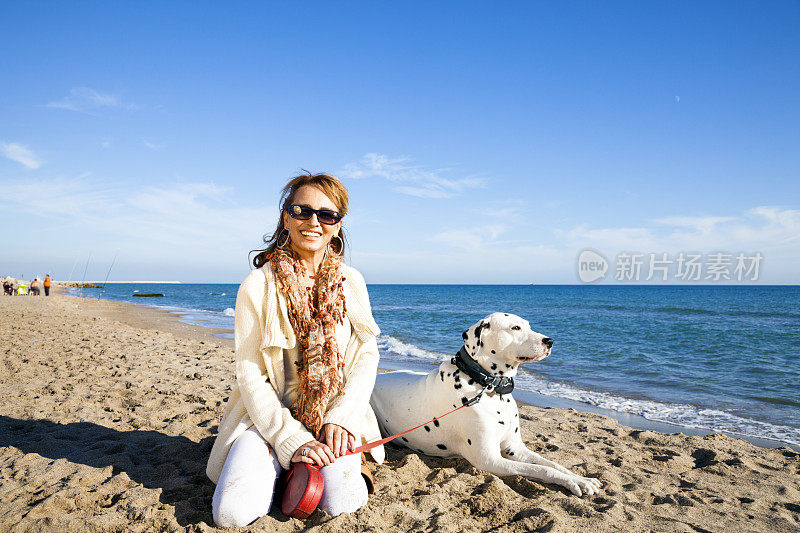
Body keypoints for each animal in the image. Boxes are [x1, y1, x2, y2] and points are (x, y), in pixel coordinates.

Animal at [372, 312, 604, 494]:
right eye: (515, 327)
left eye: (528, 325)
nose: (550, 341)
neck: (490, 389)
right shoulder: (489, 459)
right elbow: (541, 469)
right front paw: (573, 482)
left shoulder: (514, 448)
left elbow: (551, 463)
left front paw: (581, 479)